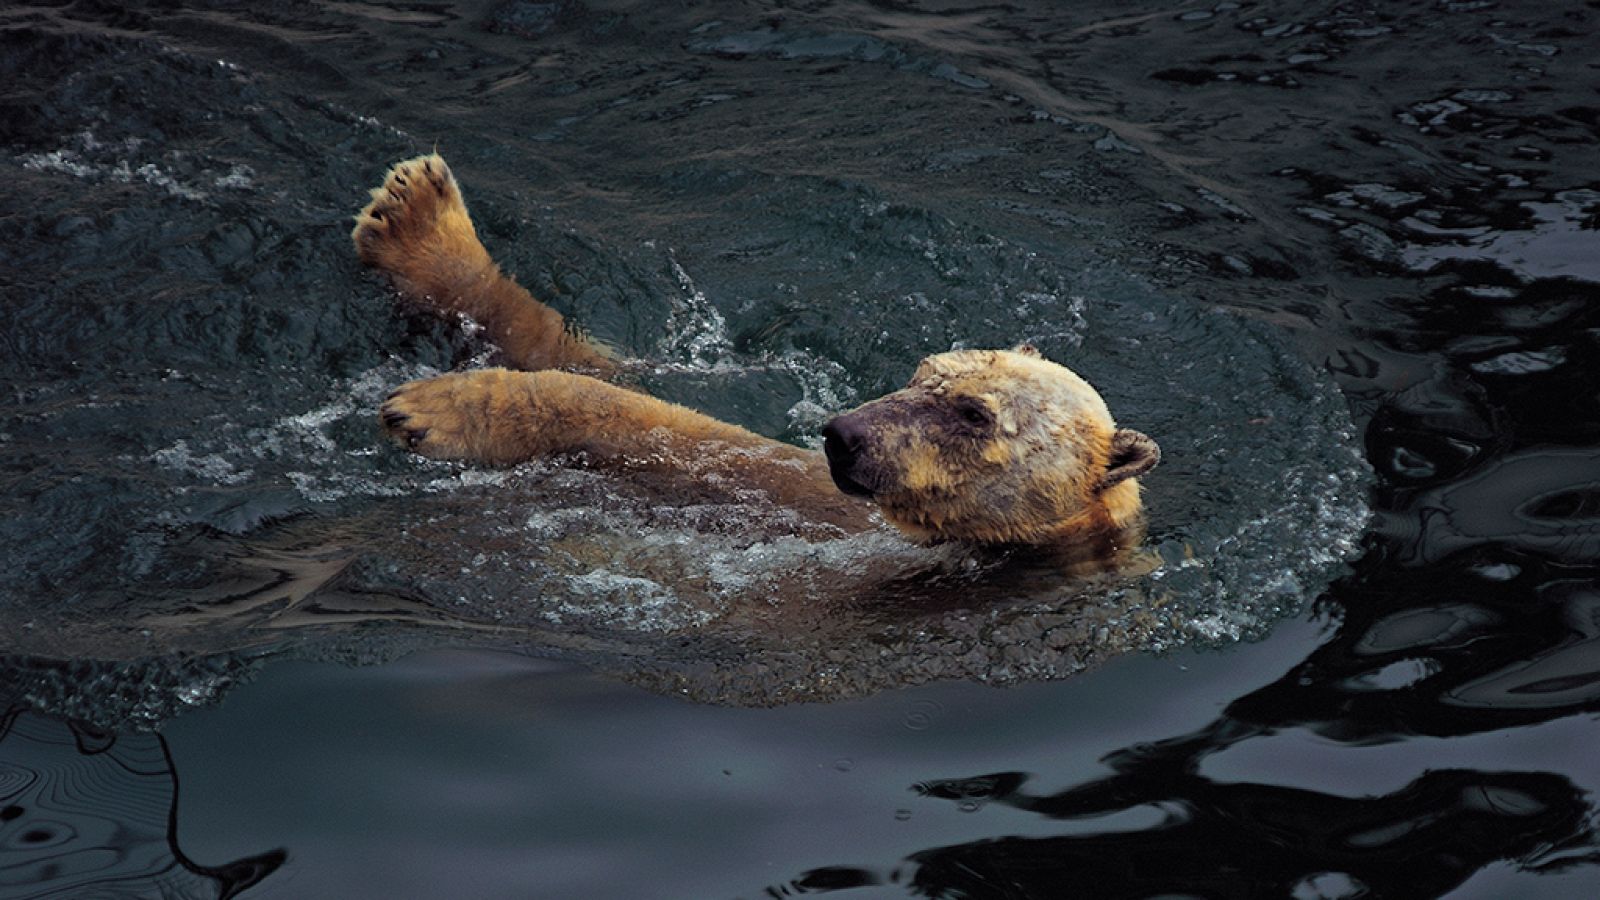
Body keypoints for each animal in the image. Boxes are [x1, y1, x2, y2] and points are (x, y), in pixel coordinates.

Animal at [353, 154, 1159, 567]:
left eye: (972, 414)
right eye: (920, 371)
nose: (844, 434)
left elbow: (671, 435)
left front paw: (434, 408)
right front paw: (413, 219)